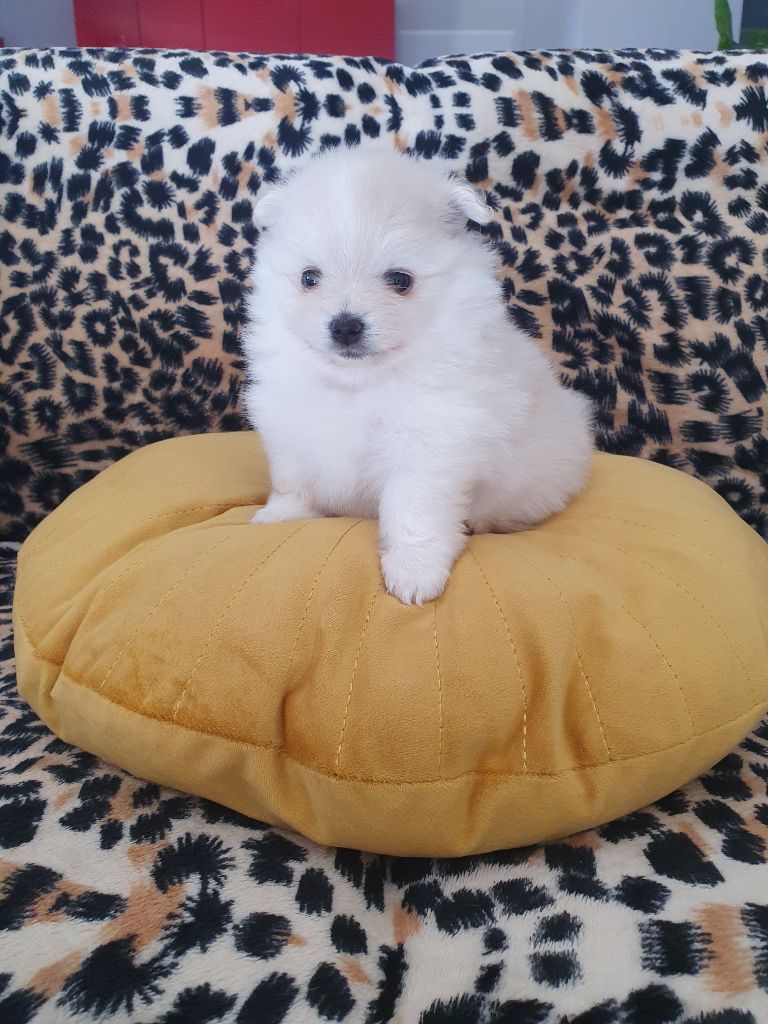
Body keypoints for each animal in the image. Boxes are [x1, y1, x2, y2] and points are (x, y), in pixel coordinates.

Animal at [242, 147, 593, 605]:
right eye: (309, 278)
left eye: (400, 281)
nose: (346, 326)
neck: (360, 382)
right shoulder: (290, 425)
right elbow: (293, 479)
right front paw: (283, 513)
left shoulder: (432, 445)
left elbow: (414, 511)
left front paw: (414, 571)